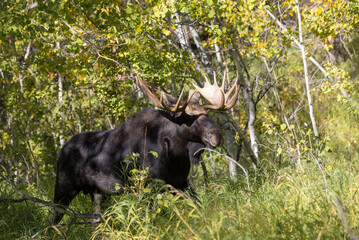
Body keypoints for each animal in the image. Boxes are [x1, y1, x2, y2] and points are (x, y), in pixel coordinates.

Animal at [49, 73, 238, 223]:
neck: (176, 157)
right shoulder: (146, 186)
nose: (216, 136)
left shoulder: (181, 183)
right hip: (63, 187)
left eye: (205, 114)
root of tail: (61, 151)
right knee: (52, 217)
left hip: (99, 194)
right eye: (189, 118)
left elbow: (198, 206)